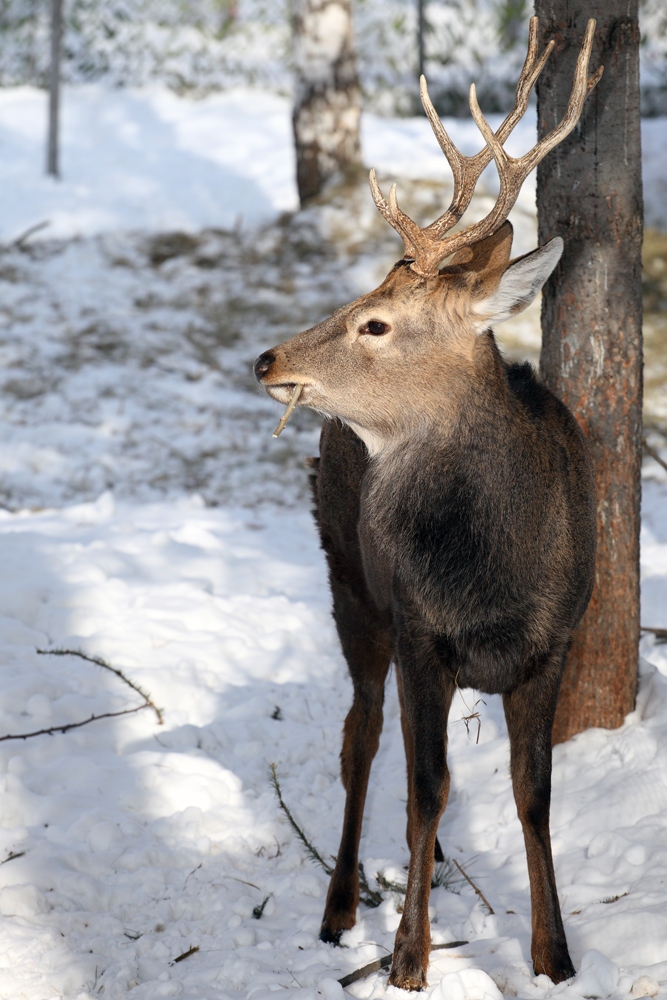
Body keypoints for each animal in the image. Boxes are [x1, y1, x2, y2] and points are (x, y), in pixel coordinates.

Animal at [254, 17, 600, 992]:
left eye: (375, 322)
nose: (266, 359)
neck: (491, 578)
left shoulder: (555, 640)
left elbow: (532, 794)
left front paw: (554, 955)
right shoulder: (419, 630)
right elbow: (424, 787)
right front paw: (408, 957)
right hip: (350, 587)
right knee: (362, 741)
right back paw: (339, 908)